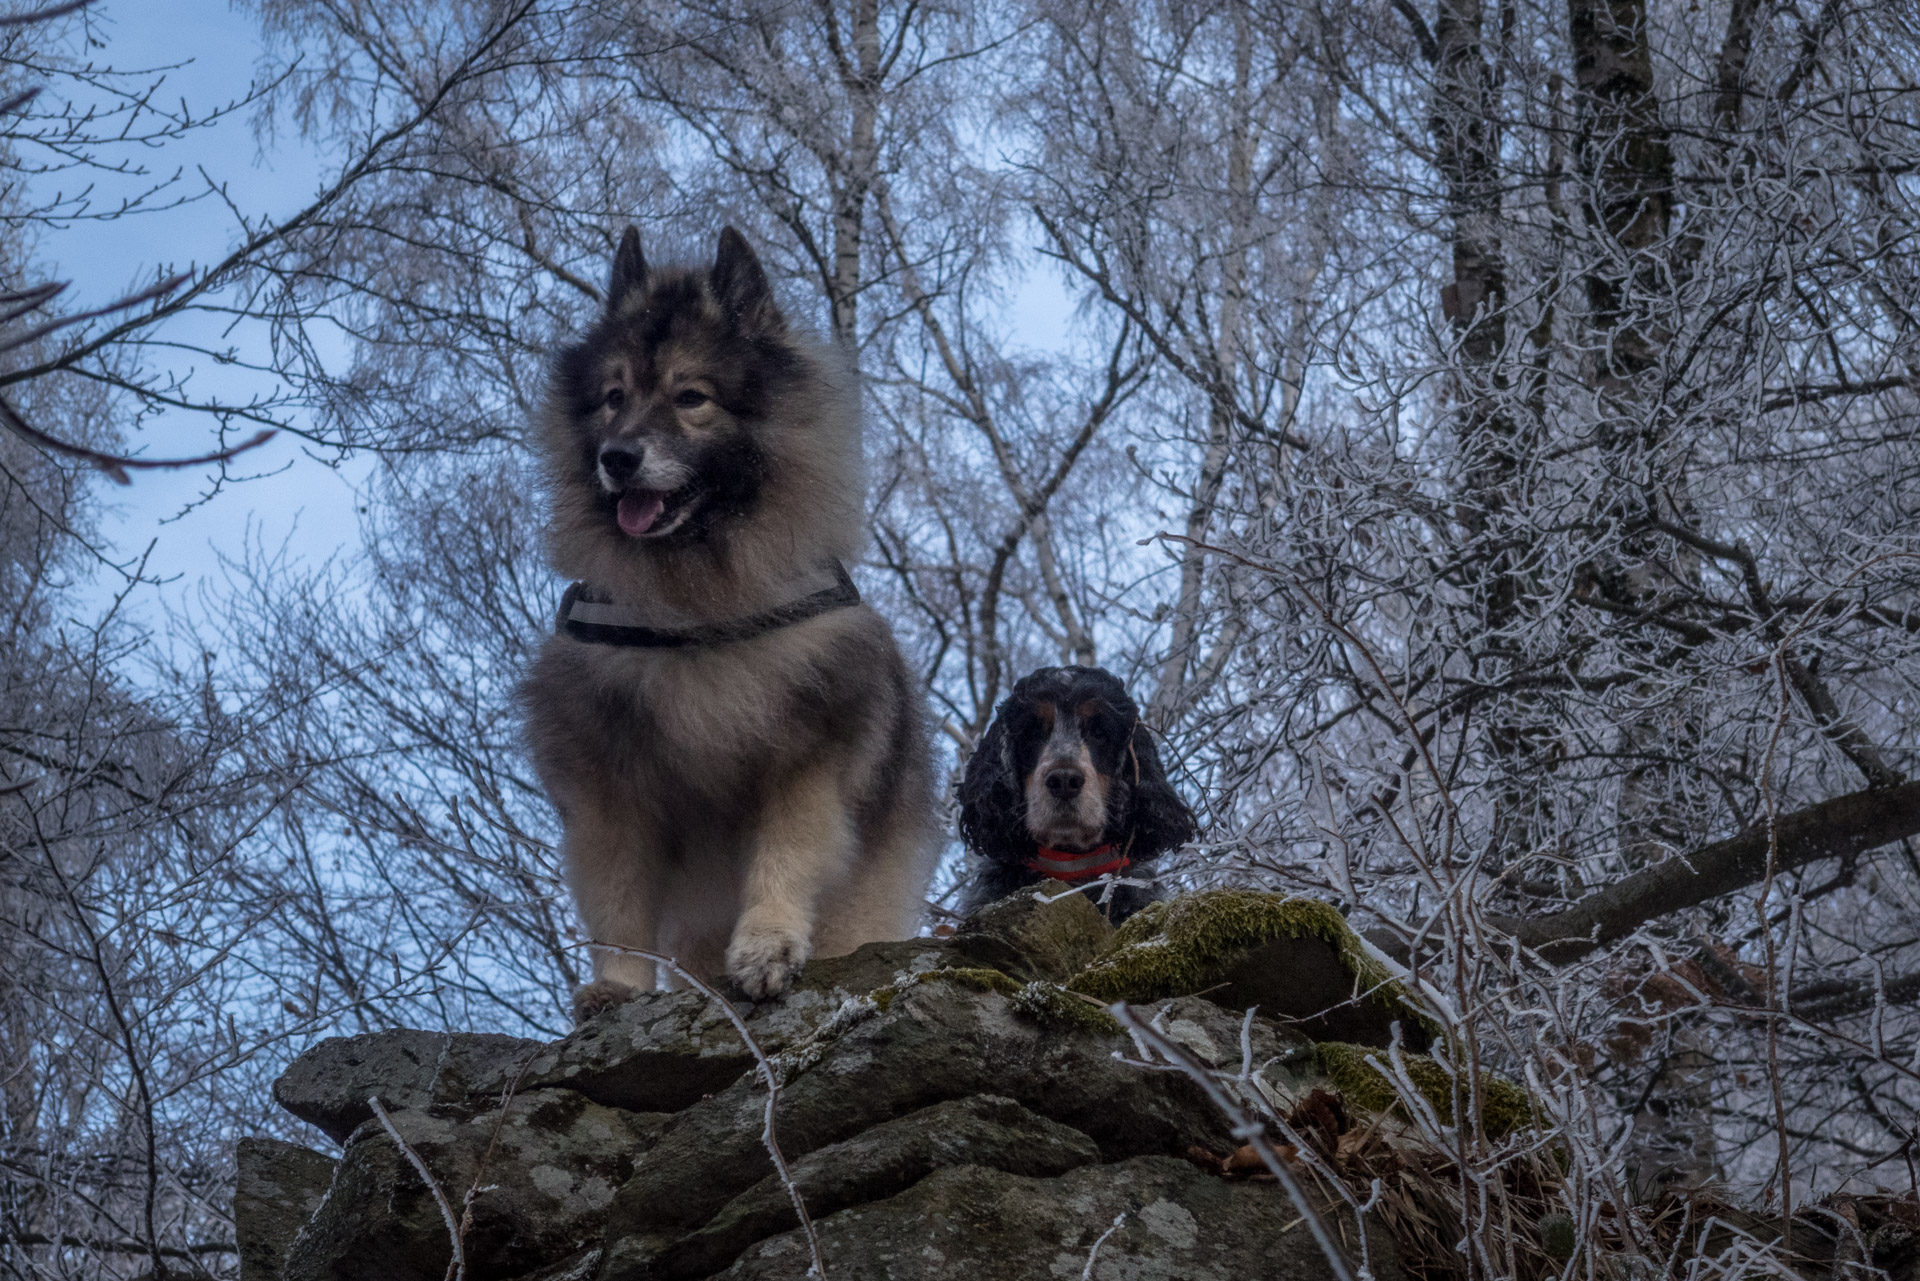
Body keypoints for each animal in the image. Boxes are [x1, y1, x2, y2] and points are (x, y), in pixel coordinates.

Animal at [518, 222, 936, 1021]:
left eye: (691, 398)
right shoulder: (609, 784)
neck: (699, 605)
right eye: (613, 397)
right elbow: (619, 898)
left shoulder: (808, 755)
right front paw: (619, 986)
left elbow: (784, 855)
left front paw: (767, 947)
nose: (618, 457)